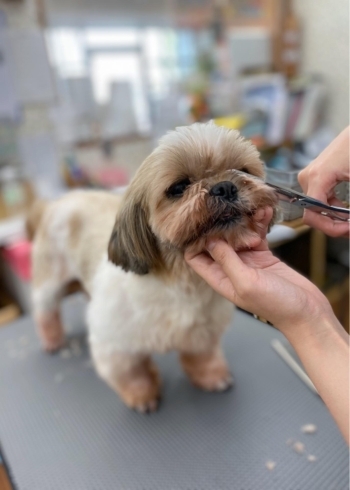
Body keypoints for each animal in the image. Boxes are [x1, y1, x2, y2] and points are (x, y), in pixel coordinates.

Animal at [28, 120, 278, 412]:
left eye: (245, 171)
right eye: (179, 187)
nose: (225, 186)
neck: (182, 281)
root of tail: (54, 203)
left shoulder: (203, 332)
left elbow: (202, 357)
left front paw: (211, 376)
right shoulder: (113, 344)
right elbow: (130, 373)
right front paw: (142, 395)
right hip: (49, 281)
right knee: (45, 311)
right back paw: (52, 339)